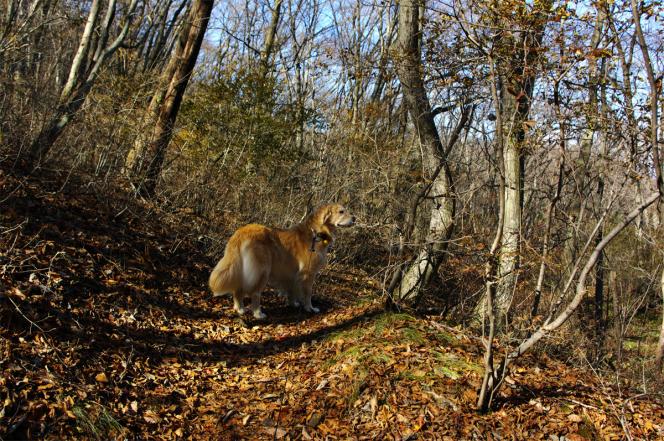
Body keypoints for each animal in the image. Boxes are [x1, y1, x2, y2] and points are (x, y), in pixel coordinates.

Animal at [209, 205, 356, 318]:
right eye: (341, 211)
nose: (355, 218)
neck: (317, 233)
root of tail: (241, 232)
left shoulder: (292, 275)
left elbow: (292, 290)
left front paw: (293, 304)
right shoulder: (308, 273)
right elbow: (308, 294)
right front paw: (310, 308)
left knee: (238, 289)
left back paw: (239, 309)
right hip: (262, 271)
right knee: (255, 293)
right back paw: (258, 313)